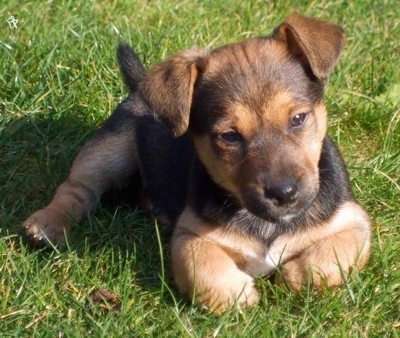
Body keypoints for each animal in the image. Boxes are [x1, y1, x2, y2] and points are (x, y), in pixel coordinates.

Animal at [22, 15, 372, 312]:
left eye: (298, 119)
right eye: (229, 136)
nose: (284, 194)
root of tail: (138, 87)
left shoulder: (354, 221)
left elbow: (328, 259)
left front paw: (293, 275)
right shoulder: (190, 235)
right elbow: (206, 272)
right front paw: (240, 295)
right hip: (109, 149)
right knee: (77, 189)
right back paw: (46, 224)